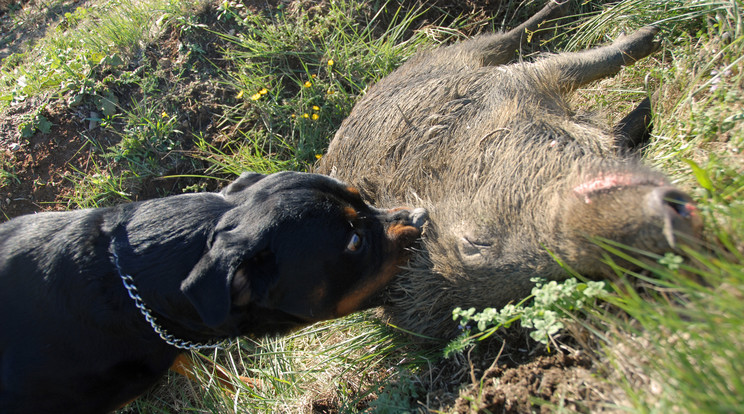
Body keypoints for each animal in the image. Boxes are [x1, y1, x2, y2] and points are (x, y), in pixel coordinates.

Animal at [0, 170, 428, 412]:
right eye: (355, 241)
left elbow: (199, 362)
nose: (422, 217)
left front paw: (250, 387)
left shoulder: (169, 336)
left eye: (364, 199)